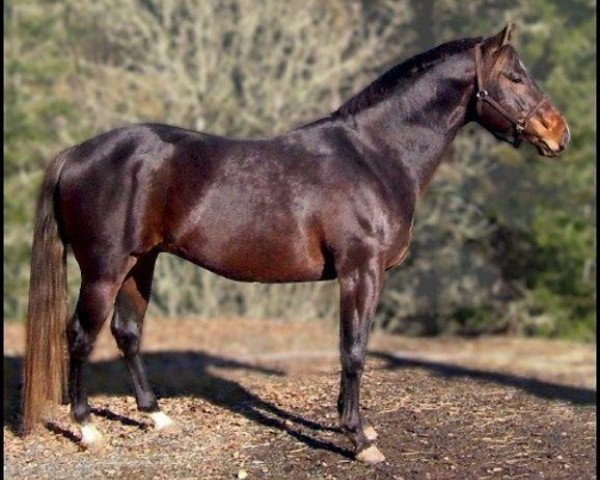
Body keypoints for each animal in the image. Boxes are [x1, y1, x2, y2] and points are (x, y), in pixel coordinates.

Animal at [22, 24, 568, 464]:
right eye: (514, 77)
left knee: (128, 333)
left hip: (141, 263)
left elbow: (354, 350)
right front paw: (359, 441)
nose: (559, 133)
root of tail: (77, 153)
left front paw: (357, 426)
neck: (374, 155)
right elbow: (353, 350)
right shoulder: (360, 272)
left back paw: (156, 416)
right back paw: (87, 428)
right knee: (80, 336)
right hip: (104, 271)